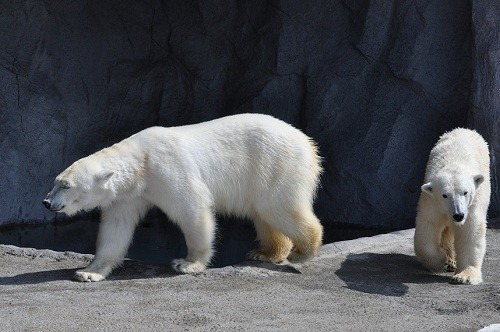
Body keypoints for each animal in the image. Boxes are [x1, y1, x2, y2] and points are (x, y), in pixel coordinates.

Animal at [43, 113, 324, 282]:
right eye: (56, 181)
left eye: (66, 185)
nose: (46, 202)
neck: (141, 163)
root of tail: (308, 143)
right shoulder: (129, 194)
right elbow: (116, 228)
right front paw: (88, 272)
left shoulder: (168, 169)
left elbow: (192, 209)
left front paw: (188, 264)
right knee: (264, 214)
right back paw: (265, 252)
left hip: (275, 164)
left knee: (278, 207)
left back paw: (302, 251)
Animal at [412, 128, 490, 284]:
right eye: (445, 195)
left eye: (465, 192)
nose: (458, 215)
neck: (454, 163)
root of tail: (463, 129)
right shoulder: (432, 201)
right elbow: (427, 226)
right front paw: (441, 260)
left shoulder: (472, 205)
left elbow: (470, 232)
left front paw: (464, 276)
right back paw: (449, 260)